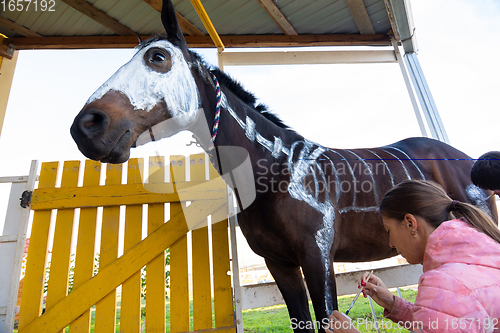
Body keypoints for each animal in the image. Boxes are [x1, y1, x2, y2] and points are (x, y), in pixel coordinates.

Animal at [69, 0, 496, 330]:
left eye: (157, 57)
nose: (86, 126)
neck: (279, 171)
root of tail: (466, 159)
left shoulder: (317, 258)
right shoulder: (280, 265)